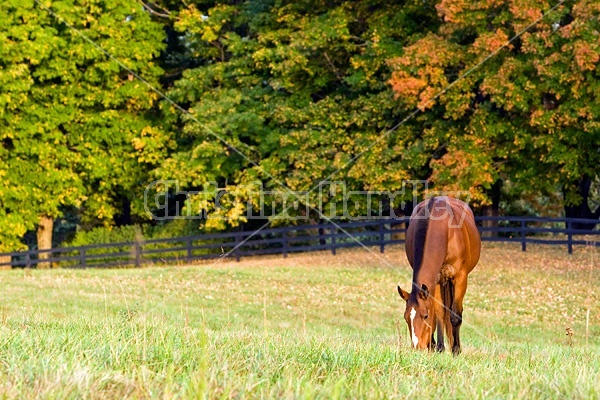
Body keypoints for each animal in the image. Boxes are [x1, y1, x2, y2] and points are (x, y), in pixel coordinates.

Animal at [398, 195, 482, 354]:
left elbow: (455, 316)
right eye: (406, 318)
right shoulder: (435, 280)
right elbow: (439, 314)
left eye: (425, 316)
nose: (417, 347)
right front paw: (439, 347)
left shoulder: (460, 278)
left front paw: (455, 350)